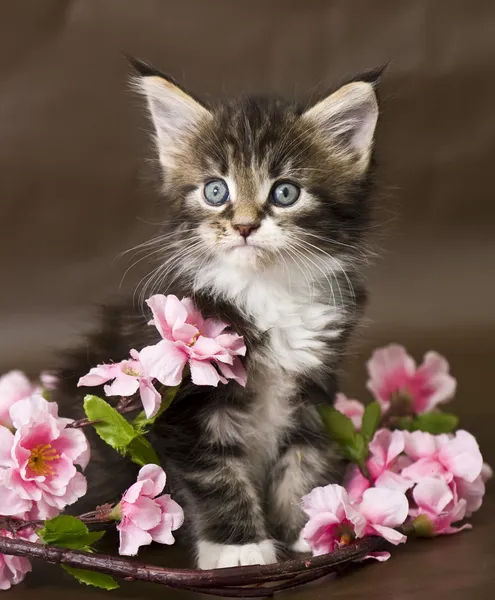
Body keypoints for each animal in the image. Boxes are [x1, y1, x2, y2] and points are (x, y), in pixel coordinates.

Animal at [57, 58, 384, 568]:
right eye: (216, 191)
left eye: (285, 193)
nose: (245, 226)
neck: (265, 290)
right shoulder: (182, 402)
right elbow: (216, 475)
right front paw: (240, 547)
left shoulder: (313, 390)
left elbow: (304, 459)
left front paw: (312, 527)